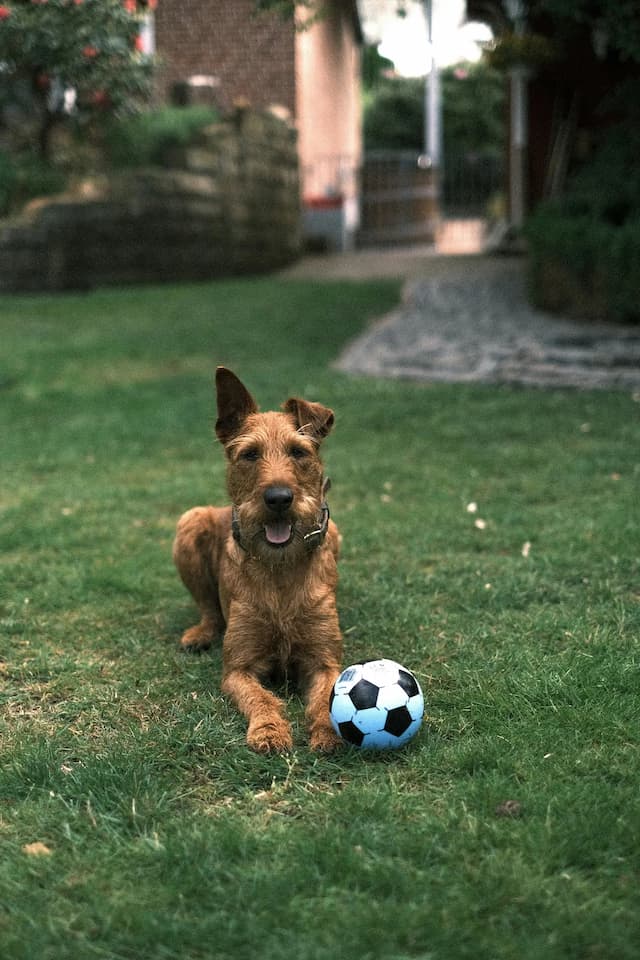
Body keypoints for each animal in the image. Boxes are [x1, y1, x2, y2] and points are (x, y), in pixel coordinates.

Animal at [174, 372, 344, 752]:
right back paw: (200, 634)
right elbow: (261, 697)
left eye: (298, 451)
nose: (278, 498)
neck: (280, 569)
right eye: (250, 454)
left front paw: (328, 732)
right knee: (208, 607)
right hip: (189, 521)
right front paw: (269, 730)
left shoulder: (325, 661)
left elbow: (327, 696)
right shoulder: (239, 668)